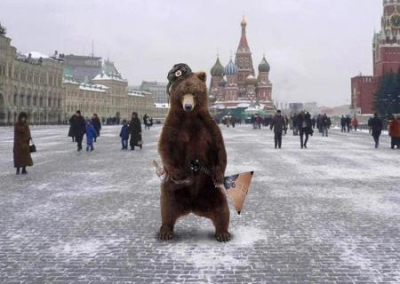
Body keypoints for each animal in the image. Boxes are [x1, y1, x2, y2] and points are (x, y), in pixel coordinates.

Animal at [157, 63, 230, 242]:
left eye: (195, 92)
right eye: (183, 93)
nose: (188, 106)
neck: (189, 117)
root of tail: (193, 205)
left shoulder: (208, 126)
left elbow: (219, 148)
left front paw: (219, 174)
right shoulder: (174, 126)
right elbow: (165, 146)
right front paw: (178, 172)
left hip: (211, 190)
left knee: (222, 208)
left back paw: (223, 233)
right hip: (172, 190)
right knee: (167, 207)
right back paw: (165, 231)